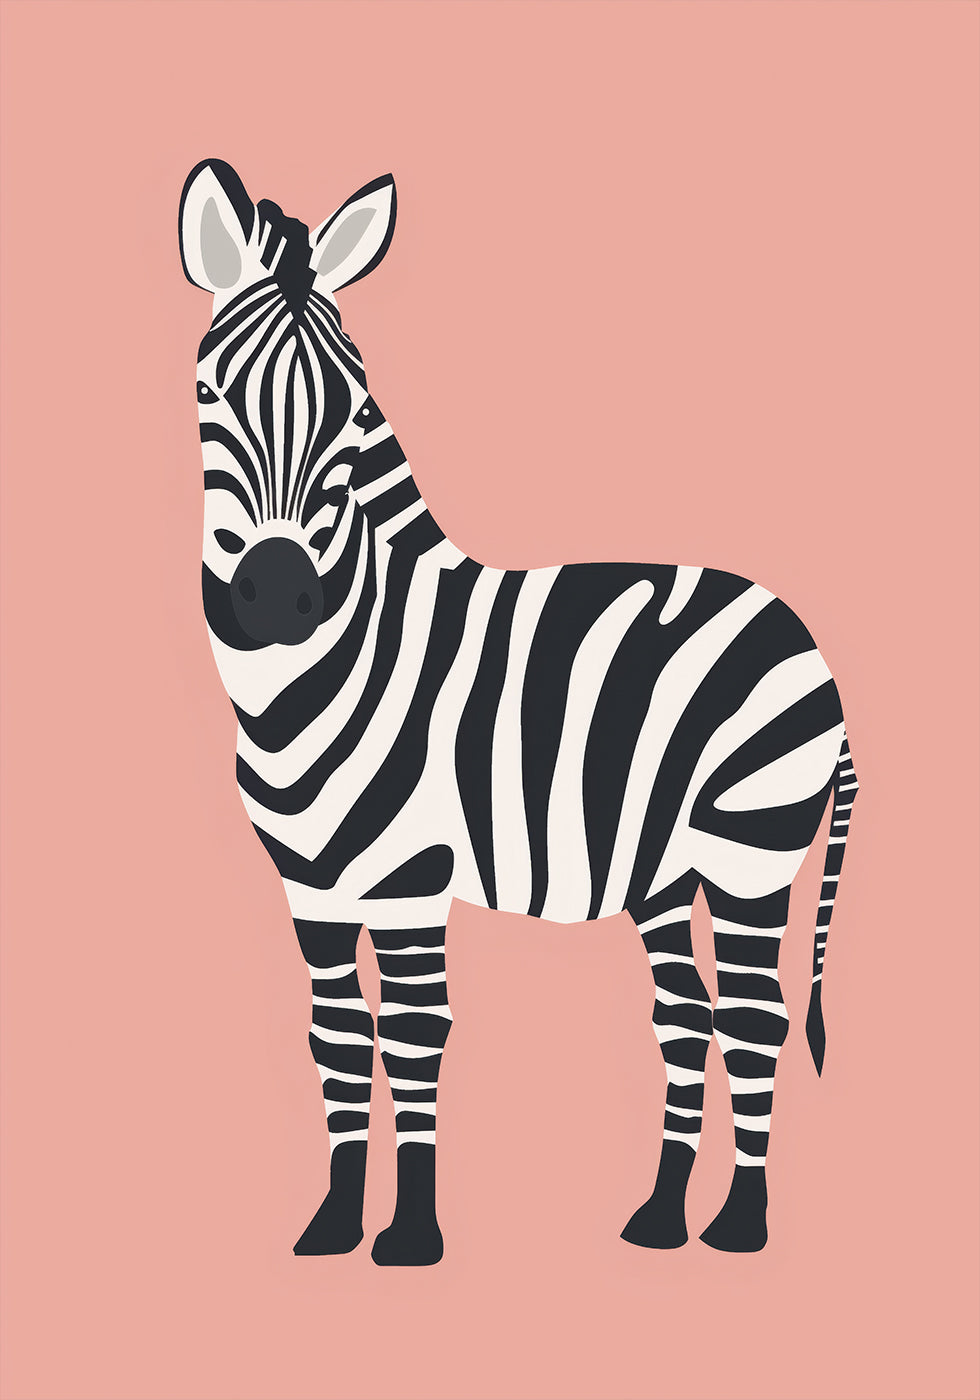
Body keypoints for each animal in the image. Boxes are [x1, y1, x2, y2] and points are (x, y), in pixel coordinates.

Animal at [178, 158, 858, 1266]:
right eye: (211, 394)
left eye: (353, 406)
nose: (277, 596)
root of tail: (804, 636)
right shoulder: (310, 888)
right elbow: (337, 1039)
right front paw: (332, 1223)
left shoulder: (410, 878)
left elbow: (413, 1035)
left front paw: (409, 1235)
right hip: (666, 872)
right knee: (688, 1017)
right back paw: (660, 1217)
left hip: (751, 850)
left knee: (754, 1015)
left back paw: (739, 1224)